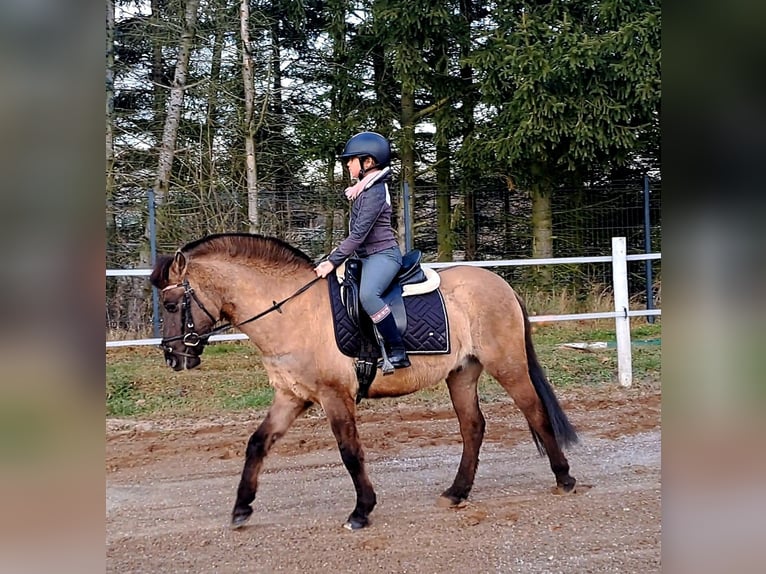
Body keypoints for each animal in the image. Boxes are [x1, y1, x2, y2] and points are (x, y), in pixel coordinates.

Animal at [149, 232, 578, 530]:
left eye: (171, 304)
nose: (173, 357)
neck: (292, 310)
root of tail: (499, 283)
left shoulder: (335, 395)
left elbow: (350, 452)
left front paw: (361, 511)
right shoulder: (291, 395)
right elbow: (257, 444)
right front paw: (241, 509)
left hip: (507, 365)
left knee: (535, 412)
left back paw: (564, 478)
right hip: (462, 373)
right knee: (473, 427)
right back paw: (457, 492)